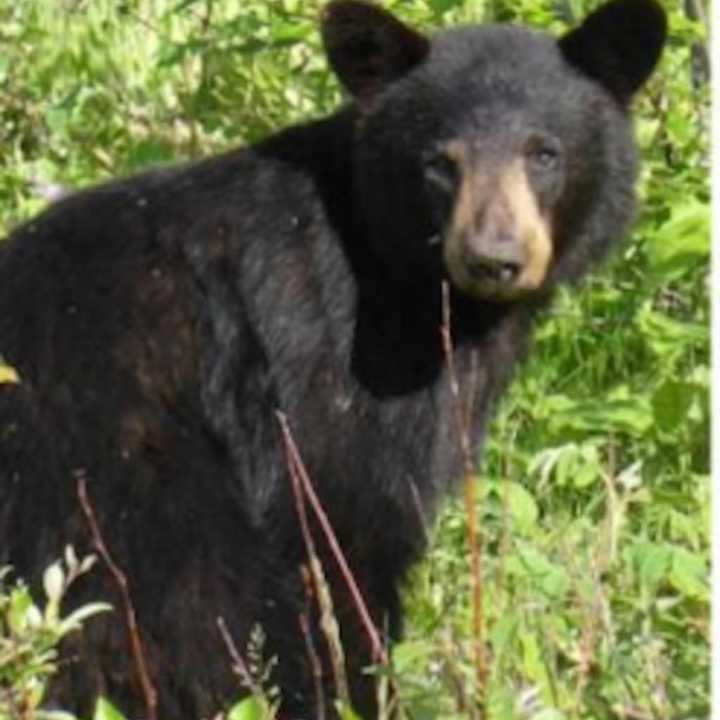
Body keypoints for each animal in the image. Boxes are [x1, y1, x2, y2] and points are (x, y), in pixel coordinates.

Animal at [0, 0, 664, 716]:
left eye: (544, 153)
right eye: (440, 162)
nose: (493, 258)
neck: (401, 277)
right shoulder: (325, 365)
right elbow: (345, 531)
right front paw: (359, 685)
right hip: (118, 487)